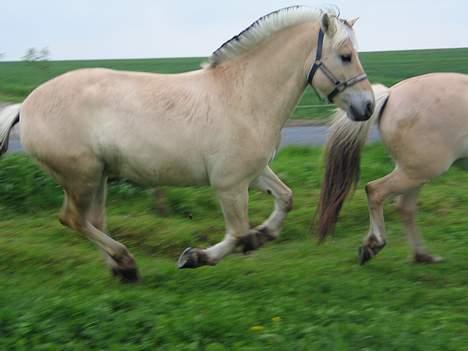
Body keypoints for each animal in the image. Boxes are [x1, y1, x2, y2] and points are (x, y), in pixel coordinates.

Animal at [0, 6, 372, 284]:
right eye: (345, 56)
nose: (367, 106)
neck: (243, 95)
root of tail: (25, 107)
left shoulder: (252, 173)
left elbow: (285, 199)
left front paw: (262, 235)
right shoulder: (229, 184)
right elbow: (237, 233)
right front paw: (195, 257)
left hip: (98, 178)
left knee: (94, 220)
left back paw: (121, 270)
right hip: (82, 177)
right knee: (73, 219)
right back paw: (126, 261)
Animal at [316, 74, 468, 266]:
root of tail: (391, 93)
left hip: (413, 172)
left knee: (405, 208)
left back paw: (422, 255)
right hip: (419, 171)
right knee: (375, 191)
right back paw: (374, 244)